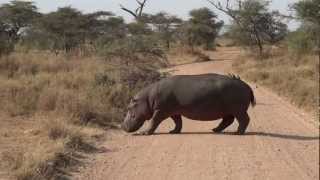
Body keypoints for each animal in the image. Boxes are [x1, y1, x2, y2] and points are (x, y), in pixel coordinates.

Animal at [121, 73, 256, 135]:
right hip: (229, 109)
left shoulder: (160, 110)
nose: (122, 126)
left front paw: (144, 133)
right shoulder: (173, 111)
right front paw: (173, 131)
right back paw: (214, 130)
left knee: (244, 119)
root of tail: (247, 85)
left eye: (129, 108)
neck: (147, 98)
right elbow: (178, 122)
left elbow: (154, 121)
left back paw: (237, 133)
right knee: (228, 120)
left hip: (237, 109)